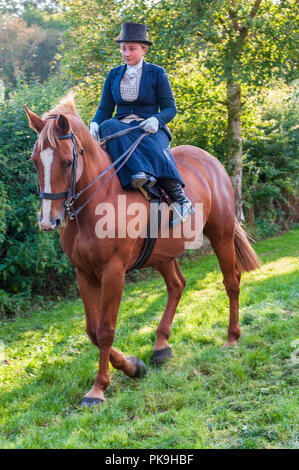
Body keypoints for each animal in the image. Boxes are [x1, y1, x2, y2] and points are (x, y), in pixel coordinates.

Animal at [24, 94, 262, 408]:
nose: (48, 221)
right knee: (177, 285)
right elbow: (91, 330)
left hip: (220, 233)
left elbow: (105, 330)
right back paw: (161, 345)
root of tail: (209, 159)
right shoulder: (84, 273)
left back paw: (232, 337)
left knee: (231, 281)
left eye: (67, 162)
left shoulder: (113, 272)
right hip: (161, 253)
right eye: (35, 162)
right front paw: (133, 366)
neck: (97, 200)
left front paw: (99, 388)